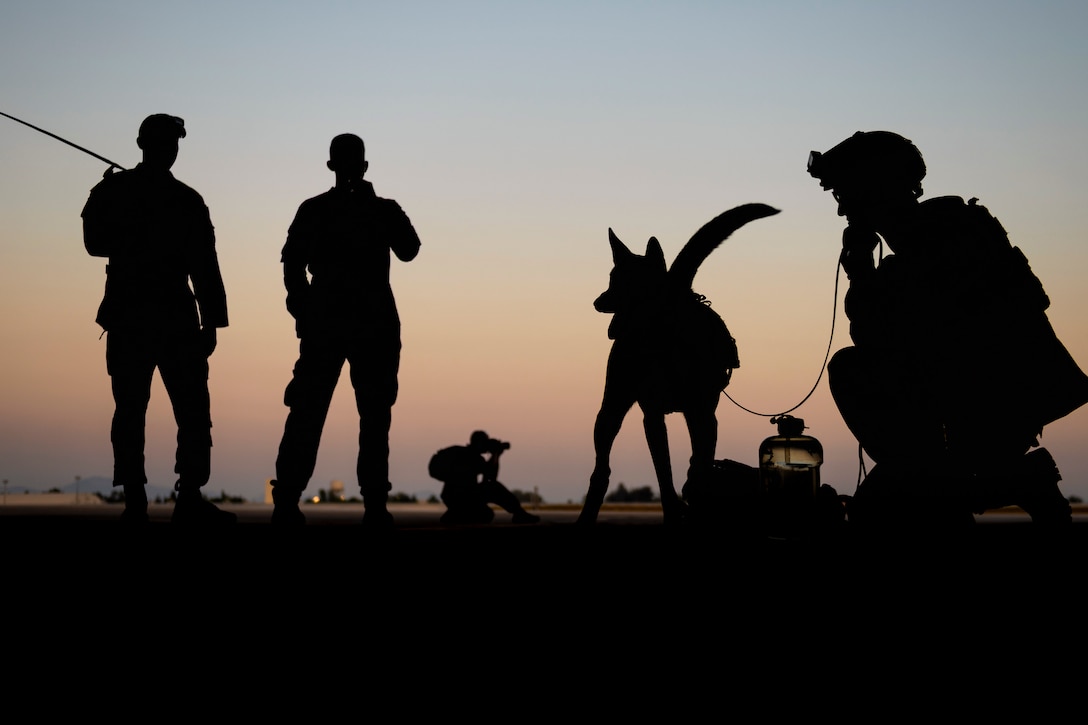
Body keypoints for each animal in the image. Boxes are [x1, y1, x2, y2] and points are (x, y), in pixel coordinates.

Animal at [578, 203, 783, 524]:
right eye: (612, 278)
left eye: (625, 282)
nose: (598, 302)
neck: (666, 335)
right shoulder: (652, 415)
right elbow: (664, 472)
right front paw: (674, 514)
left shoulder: (704, 414)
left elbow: (700, 464)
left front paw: (697, 501)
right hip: (610, 410)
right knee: (602, 469)